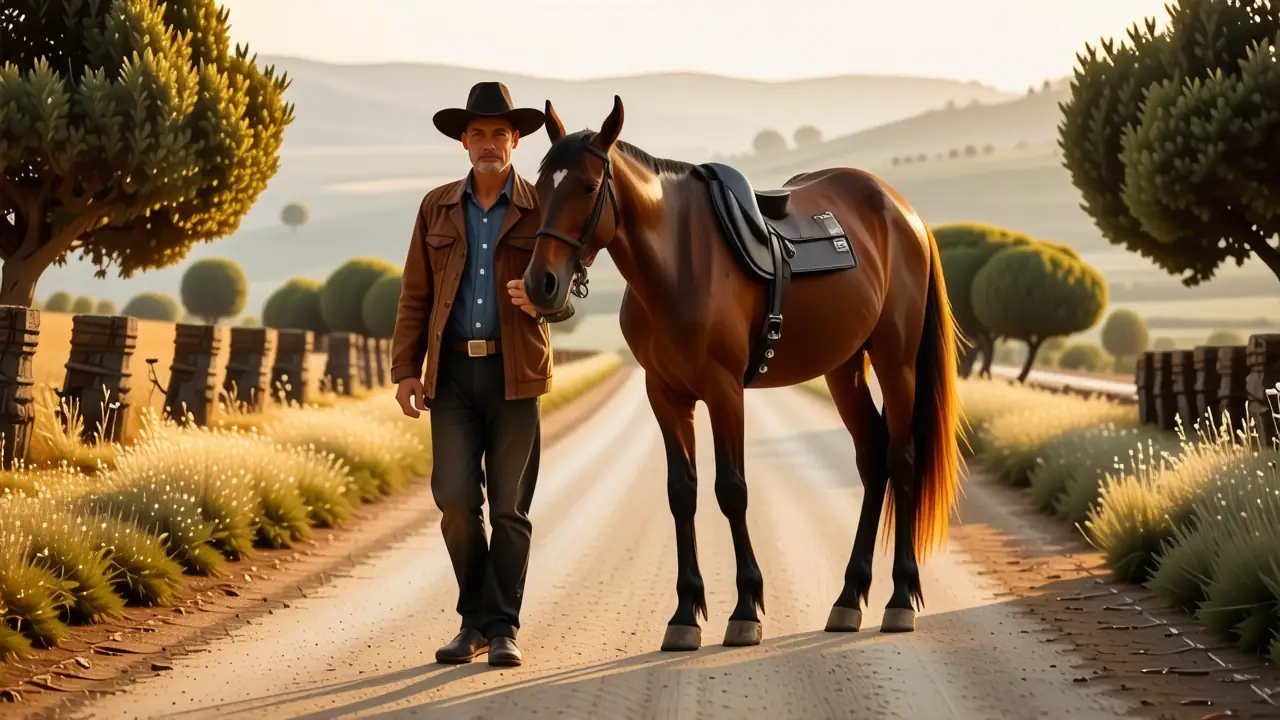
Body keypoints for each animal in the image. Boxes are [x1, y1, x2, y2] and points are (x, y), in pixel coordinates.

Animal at [521, 95, 964, 652]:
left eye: (584, 186)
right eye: (540, 188)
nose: (541, 283)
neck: (677, 262)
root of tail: (904, 212)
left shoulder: (725, 390)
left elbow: (732, 490)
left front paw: (746, 607)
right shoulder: (664, 394)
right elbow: (681, 493)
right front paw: (685, 613)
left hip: (895, 361)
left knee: (902, 462)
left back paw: (900, 597)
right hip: (844, 368)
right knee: (873, 459)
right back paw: (848, 597)